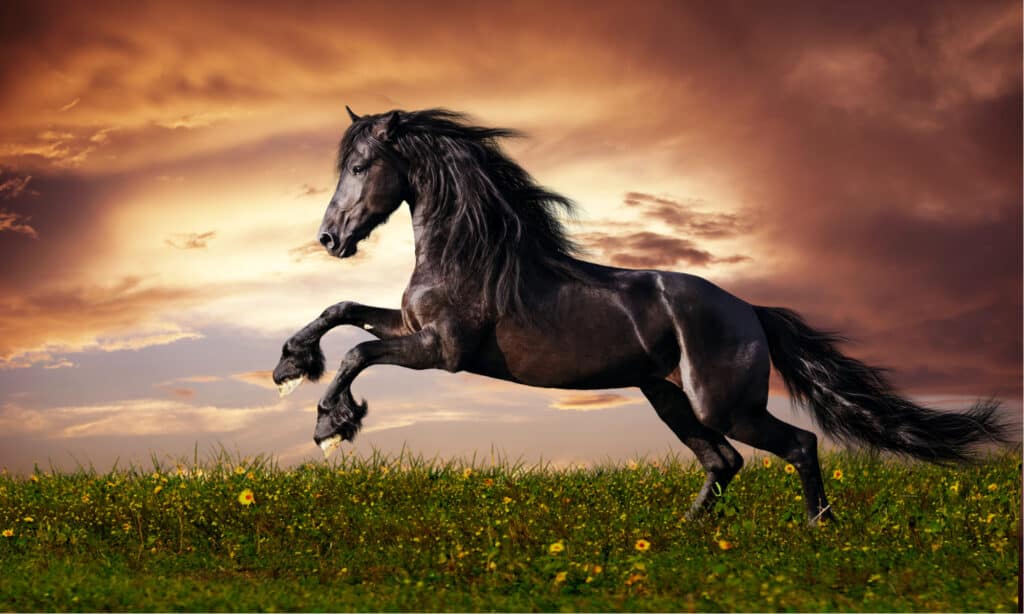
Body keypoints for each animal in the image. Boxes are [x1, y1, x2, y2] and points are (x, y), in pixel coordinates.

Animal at [272, 106, 1007, 521]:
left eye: (361, 166)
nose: (330, 239)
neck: (472, 253)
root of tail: (751, 311)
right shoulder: (415, 330)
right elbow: (343, 310)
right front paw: (290, 365)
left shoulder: (444, 351)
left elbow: (359, 351)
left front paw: (331, 422)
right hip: (668, 397)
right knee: (723, 464)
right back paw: (682, 538)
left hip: (722, 404)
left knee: (795, 445)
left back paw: (817, 529)